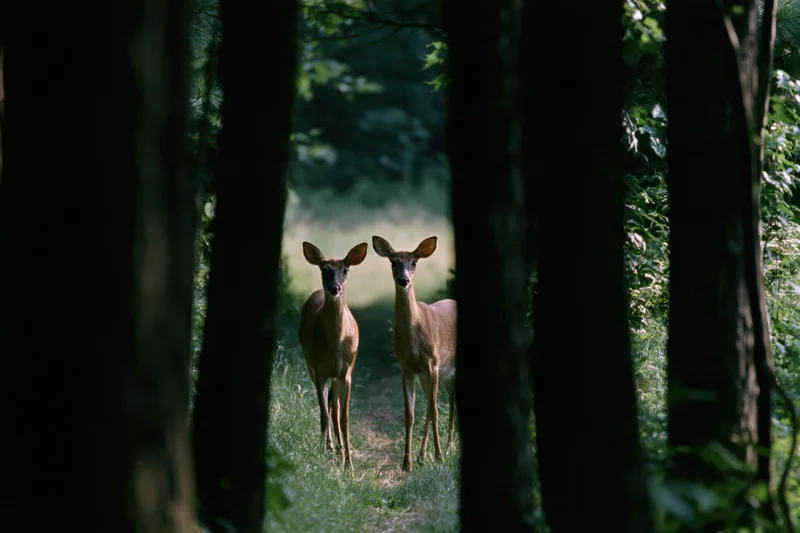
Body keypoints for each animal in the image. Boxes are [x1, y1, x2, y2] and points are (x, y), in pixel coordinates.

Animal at [298, 241, 368, 470]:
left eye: (345, 270)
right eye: (324, 269)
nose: (334, 288)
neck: (336, 345)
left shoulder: (346, 371)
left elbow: (344, 419)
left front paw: (349, 465)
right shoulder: (320, 369)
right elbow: (323, 413)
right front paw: (325, 451)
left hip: (337, 375)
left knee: (335, 408)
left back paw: (340, 450)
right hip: (312, 365)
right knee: (329, 409)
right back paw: (331, 447)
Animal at [372, 235, 457, 472]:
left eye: (414, 262)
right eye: (393, 261)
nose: (404, 280)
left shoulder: (433, 363)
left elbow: (433, 411)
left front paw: (438, 457)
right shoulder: (407, 368)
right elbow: (410, 414)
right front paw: (407, 462)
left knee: (443, 404)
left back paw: (446, 448)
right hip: (437, 376)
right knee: (447, 399)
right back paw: (430, 452)